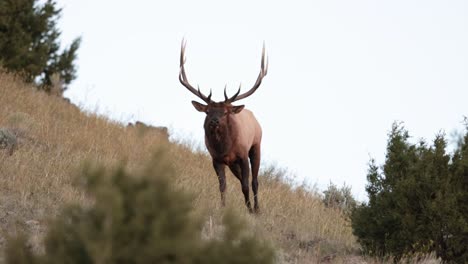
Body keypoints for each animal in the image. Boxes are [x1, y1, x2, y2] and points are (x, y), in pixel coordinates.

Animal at [178, 40, 268, 213]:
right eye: (207, 111)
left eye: (225, 112)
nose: (214, 121)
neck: (224, 148)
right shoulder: (216, 159)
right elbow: (223, 186)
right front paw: (223, 208)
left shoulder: (242, 155)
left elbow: (246, 185)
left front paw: (250, 210)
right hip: (232, 164)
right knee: (242, 180)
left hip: (256, 146)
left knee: (254, 181)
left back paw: (257, 209)